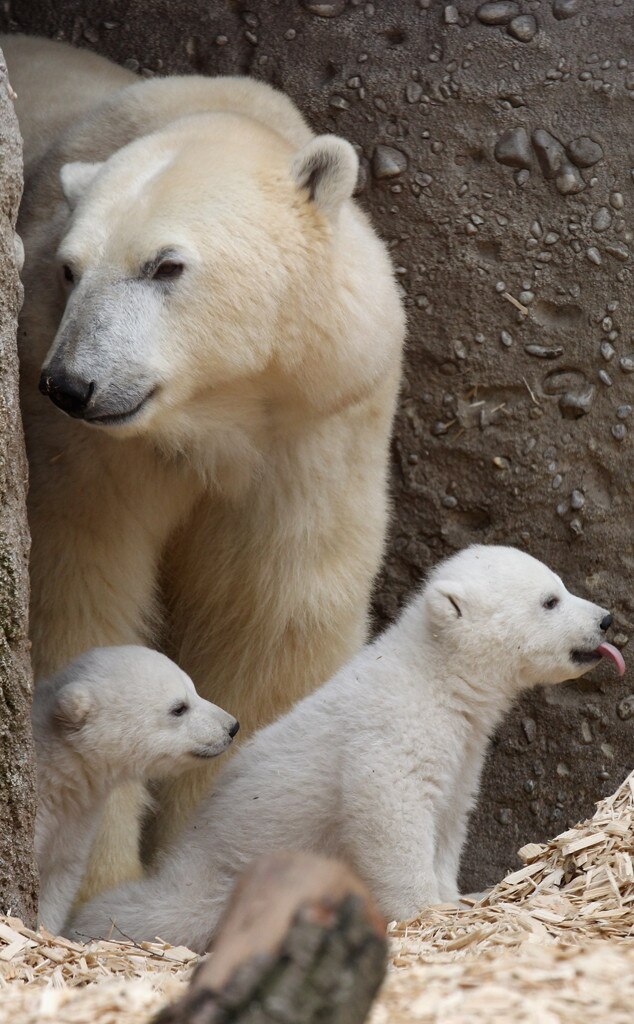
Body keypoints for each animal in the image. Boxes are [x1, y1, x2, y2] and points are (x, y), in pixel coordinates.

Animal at [3, 34, 401, 897]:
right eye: (69, 269)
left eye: (165, 266)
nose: (72, 383)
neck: (215, 415)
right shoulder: (84, 459)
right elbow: (78, 602)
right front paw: (109, 881)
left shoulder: (311, 434)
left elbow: (272, 627)